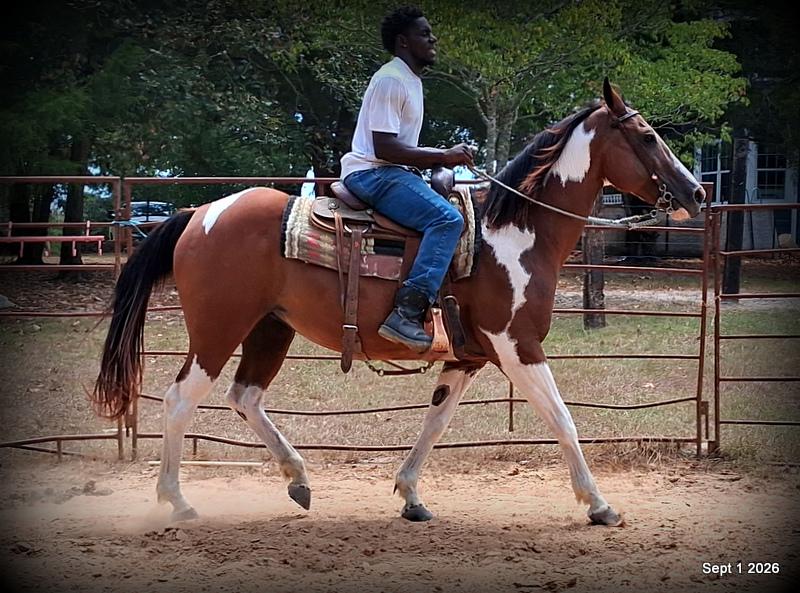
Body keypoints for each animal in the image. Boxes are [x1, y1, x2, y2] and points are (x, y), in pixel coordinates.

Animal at [93, 79, 705, 526]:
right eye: (646, 136)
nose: (696, 192)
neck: (514, 233)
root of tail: (199, 214)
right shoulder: (518, 345)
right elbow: (562, 419)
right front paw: (600, 505)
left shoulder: (469, 356)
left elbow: (436, 420)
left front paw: (410, 495)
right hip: (218, 330)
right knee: (181, 400)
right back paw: (178, 501)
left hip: (270, 328)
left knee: (246, 396)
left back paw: (298, 479)